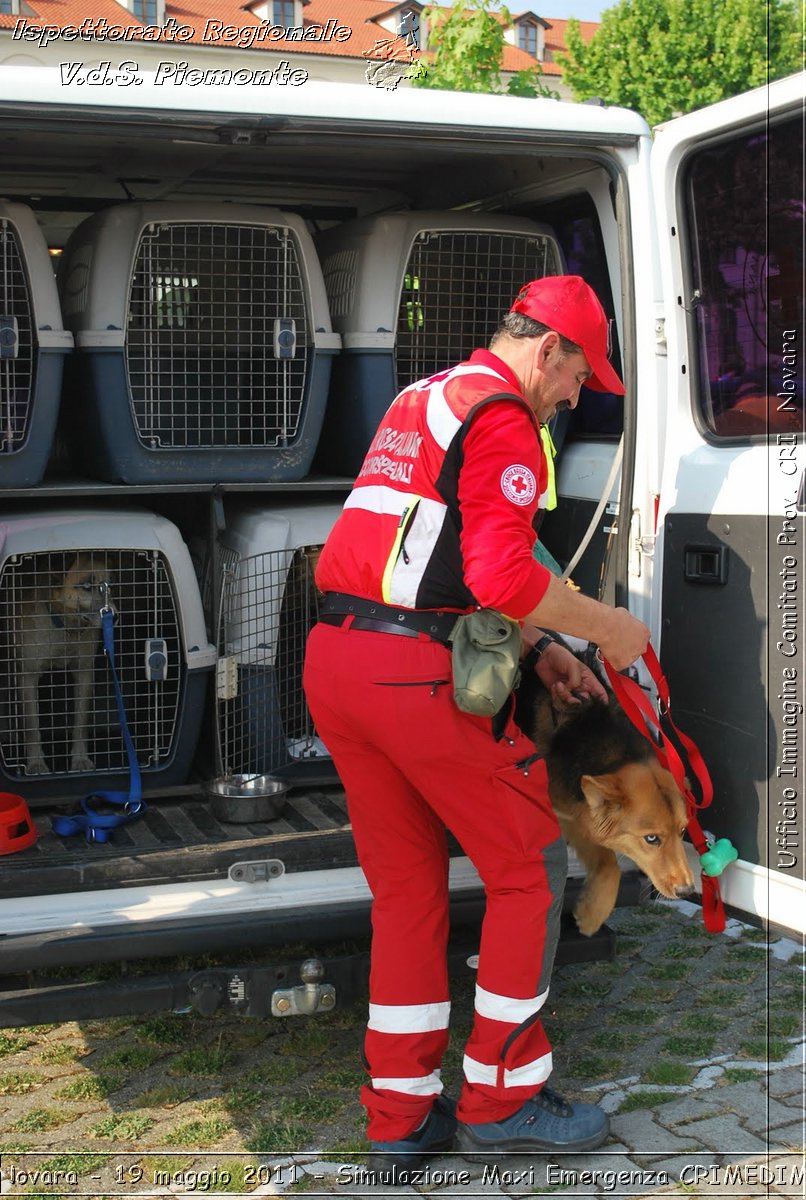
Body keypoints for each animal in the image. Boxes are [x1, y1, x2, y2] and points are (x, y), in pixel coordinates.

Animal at [515, 648, 690, 936]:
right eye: (651, 839)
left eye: (683, 831)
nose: (687, 890)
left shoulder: (575, 814)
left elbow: (610, 865)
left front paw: (591, 913)